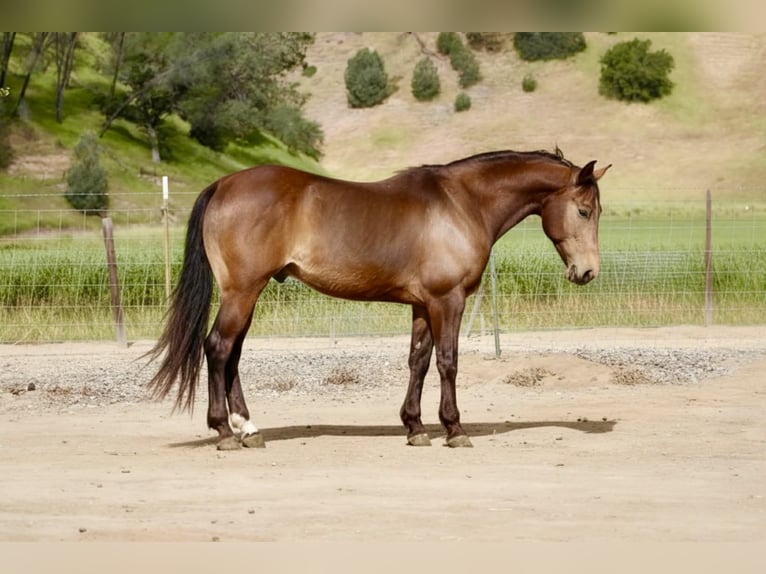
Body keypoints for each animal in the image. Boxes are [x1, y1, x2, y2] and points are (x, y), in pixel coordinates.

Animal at [146, 148, 610, 450]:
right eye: (584, 211)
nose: (586, 272)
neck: (461, 203)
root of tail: (223, 183)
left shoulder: (423, 304)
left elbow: (418, 361)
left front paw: (415, 427)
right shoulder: (448, 301)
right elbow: (448, 362)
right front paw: (454, 430)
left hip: (247, 295)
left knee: (233, 355)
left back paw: (248, 429)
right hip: (242, 292)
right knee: (218, 348)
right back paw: (225, 432)